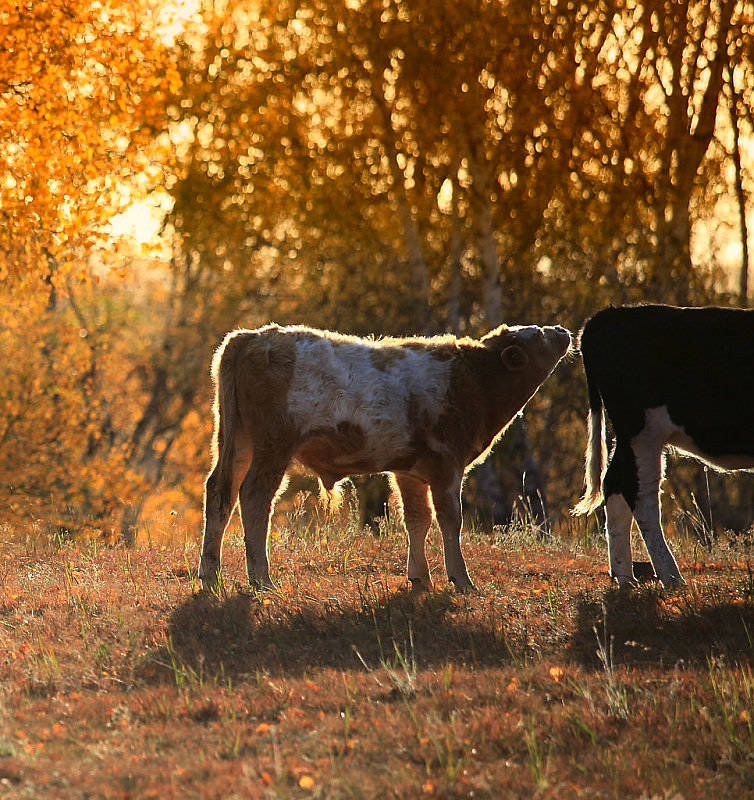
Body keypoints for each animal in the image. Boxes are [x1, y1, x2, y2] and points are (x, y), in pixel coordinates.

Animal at [197, 322, 568, 592]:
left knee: (220, 493)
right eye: (537, 334)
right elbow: (450, 520)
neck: (472, 379)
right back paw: (261, 579)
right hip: (272, 447)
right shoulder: (447, 466)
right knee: (255, 497)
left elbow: (417, 519)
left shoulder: (409, 471)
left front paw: (421, 577)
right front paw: (461, 580)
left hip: (236, 442)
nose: (562, 330)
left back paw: (210, 575)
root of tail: (252, 337)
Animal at [568, 304, 752, 584]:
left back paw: (624, 576)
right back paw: (671, 577)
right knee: (640, 494)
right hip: (643, 431)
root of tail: (609, 314)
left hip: (630, 437)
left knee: (615, 484)